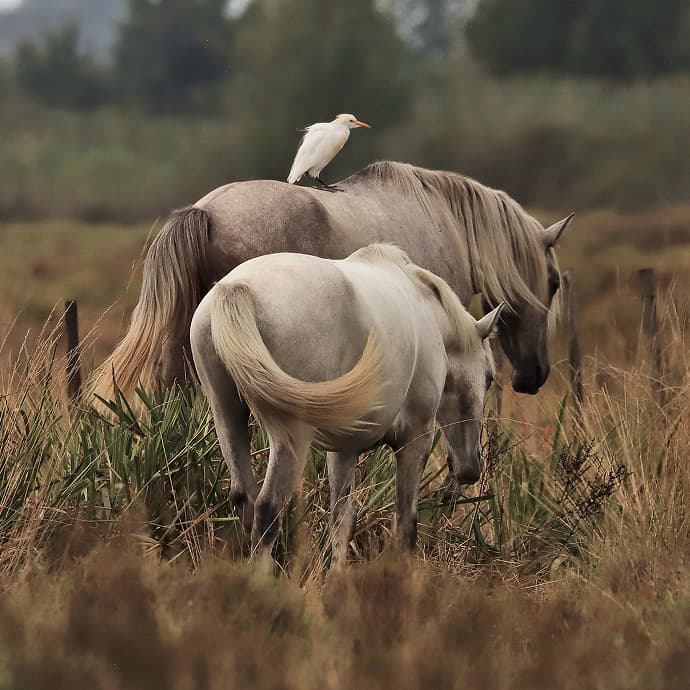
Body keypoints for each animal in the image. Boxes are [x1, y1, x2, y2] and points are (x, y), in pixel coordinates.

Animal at [190, 244, 504, 568]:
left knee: (246, 498)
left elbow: (342, 520)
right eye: (489, 377)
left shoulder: (344, 450)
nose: (470, 469)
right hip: (291, 438)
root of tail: (237, 288)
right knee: (267, 509)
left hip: (228, 417)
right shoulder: (415, 439)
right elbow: (406, 523)